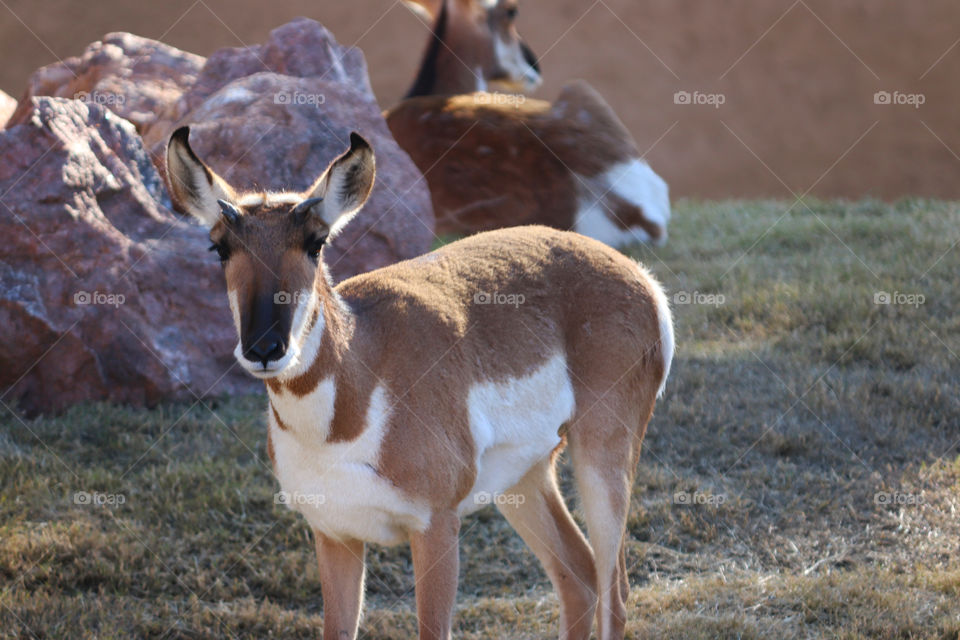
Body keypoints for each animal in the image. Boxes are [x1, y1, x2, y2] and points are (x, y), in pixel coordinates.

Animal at [165, 125, 674, 640]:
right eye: (220, 247)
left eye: (316, 243)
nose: (265, 348)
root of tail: (639, 277)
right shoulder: (334, 533)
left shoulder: (435, 526)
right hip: (526, 478)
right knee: (580, 574)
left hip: (602, 454)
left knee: (615, 592)